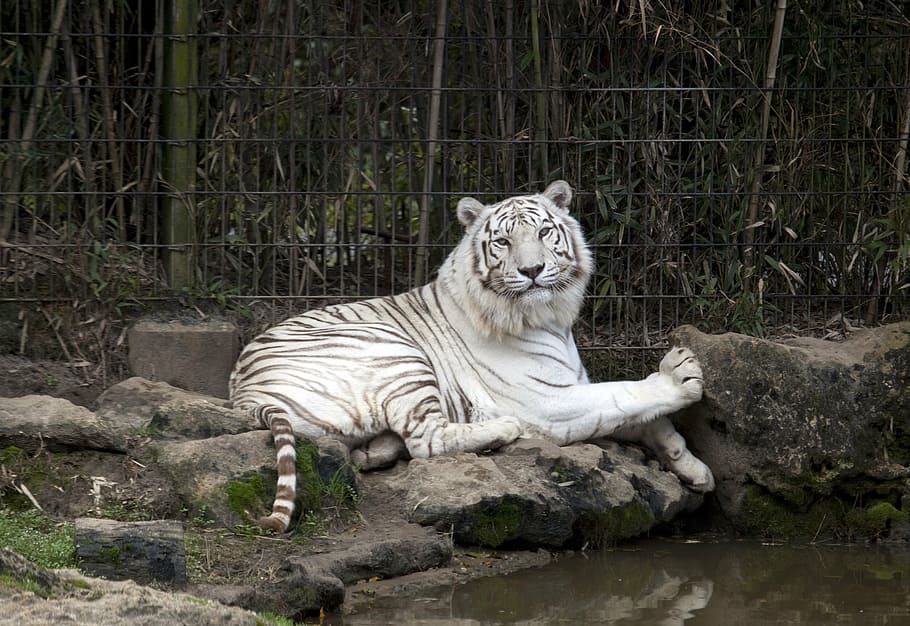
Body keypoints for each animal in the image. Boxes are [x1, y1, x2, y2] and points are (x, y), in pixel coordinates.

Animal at [229, 180, 715, 533]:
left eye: (544, 232)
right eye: (502, 241)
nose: (532, 270)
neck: (550, 318)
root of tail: (243, 392)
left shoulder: (575, 383)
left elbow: (645, 418)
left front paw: (694, 469)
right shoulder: (548, 401)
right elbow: (624, 395)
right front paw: (678, 376)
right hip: (395, 352)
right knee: (426, 440)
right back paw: (501, 430)